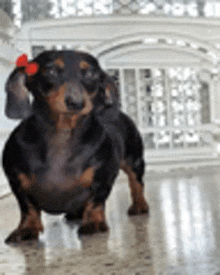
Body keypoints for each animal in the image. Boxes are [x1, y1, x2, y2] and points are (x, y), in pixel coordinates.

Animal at [2, 50, 149, 244]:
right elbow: (27, 207)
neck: (63, 133)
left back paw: (139, 205)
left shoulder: (103, 179)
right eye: (51, 71)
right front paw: (27, 228)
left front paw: (93, 222)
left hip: (135, 161)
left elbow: (95, 202)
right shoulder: (16, 181)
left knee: (136, 183)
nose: (76, 103)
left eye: (91, 74)